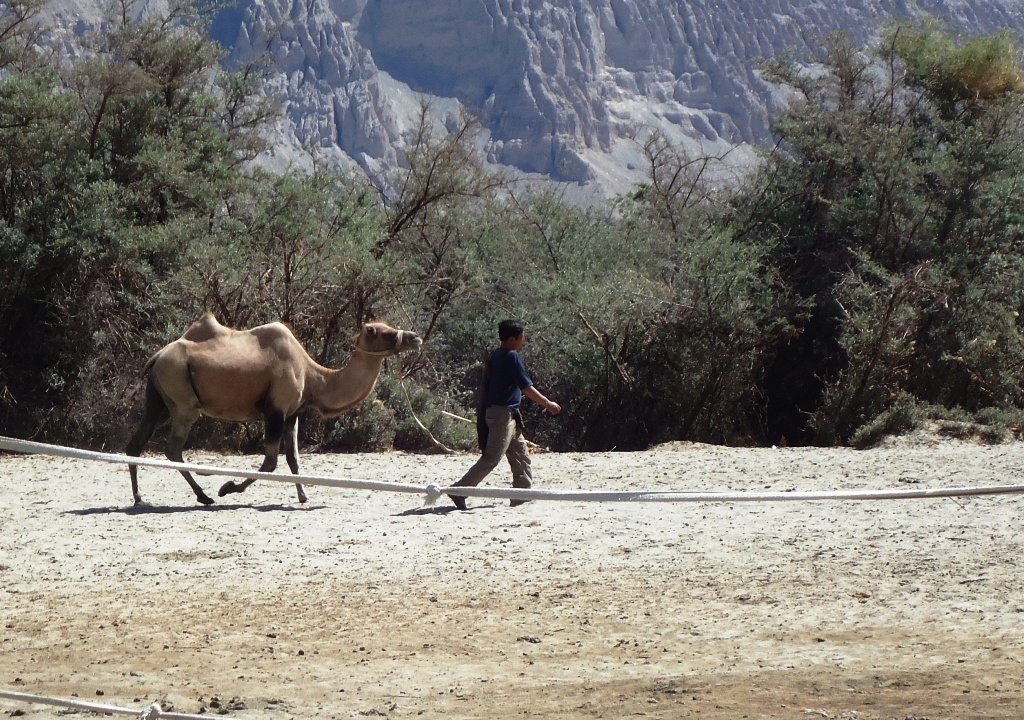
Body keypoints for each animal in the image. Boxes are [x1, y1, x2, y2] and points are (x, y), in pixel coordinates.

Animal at [123, 313, 419, 507]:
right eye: (384, 332)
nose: (415, 337)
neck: (313, 377)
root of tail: (157, 357)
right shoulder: (275, 410)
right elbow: (270, 463)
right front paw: (227, 488)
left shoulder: (292, 414)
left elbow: (293, 459)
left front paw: (303, 496)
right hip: (183, 399)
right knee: (173, 449)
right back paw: (204, 495)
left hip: (159, 402)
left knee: (135, 444)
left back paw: (139, 498)